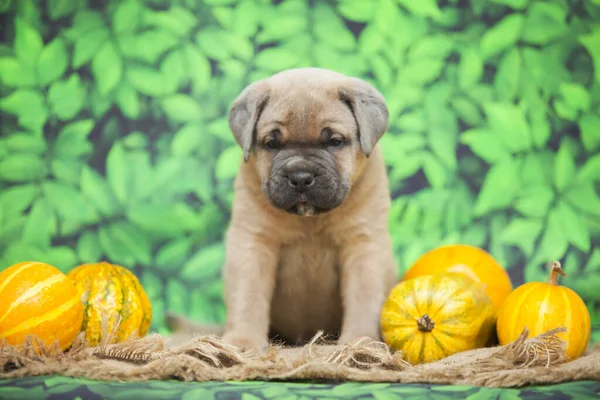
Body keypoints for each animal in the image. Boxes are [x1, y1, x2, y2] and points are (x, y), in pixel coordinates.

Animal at [220, 66, 398, 350]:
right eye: (272, 143)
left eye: (334, 141)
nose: (301, 176)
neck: (310, 221)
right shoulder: (253, 243)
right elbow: (247, 295)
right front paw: (242, 341)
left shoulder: (363, 244)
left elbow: (364, 297)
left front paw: (359, 343)